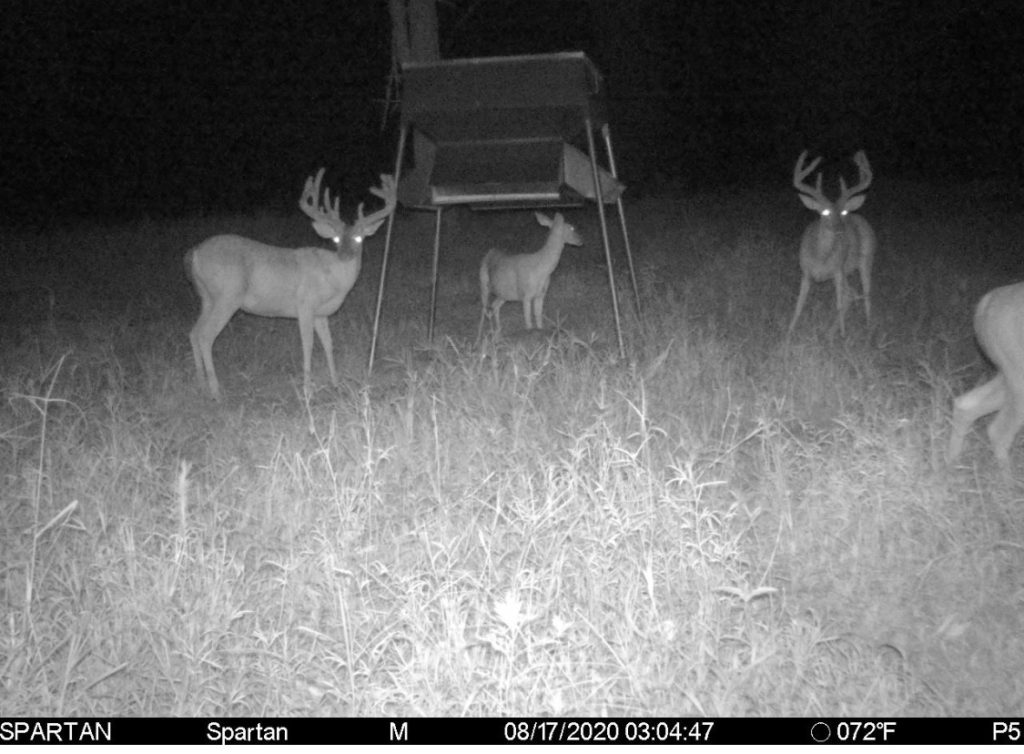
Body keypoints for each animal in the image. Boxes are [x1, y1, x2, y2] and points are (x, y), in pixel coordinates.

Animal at [185, 169, 396, 399]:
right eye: (336, 240)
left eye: (359, 238)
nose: (345, 255)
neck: (333, 279)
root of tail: (194, 252)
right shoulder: (305, 304)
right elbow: (308, 344)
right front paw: (307, 390)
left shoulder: (321, 314)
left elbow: (329, 344)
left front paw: (336, 383)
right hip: (227, 295)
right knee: (205, 335)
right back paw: (216, 391)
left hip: (207, 297)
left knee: (194, 332)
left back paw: (201, 384)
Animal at [788, 150, 877, 336]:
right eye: (825, 212)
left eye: (843, 212)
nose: (841, 228)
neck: (820, 257)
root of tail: (860, 217)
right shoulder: (806, 272)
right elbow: (799, 305)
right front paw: (788, 333)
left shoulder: (837, 270)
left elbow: (838, 304)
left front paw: (843, 336)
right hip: (847, 271)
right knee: (851, 294)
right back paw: (830, 332)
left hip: (866, 259)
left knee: (866, 294)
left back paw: (867, 327)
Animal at [948, 282, 1024, 473]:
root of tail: (986, 303)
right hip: (1017, 373)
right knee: (999, 431)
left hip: (1008, 373)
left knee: (966, 405)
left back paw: (950, 465)